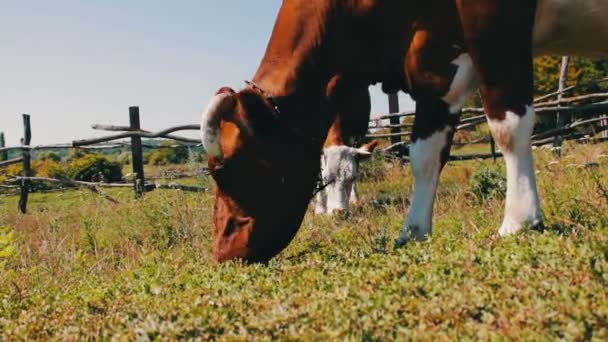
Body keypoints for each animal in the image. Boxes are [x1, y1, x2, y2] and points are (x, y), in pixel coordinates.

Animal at [203, 1, 608, 262]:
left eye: (229, 169)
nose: (223, 252)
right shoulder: (434, 59)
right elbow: (424, 154)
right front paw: (413, 231)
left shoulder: (493, 23)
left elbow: (507, 125)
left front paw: (520, 221)